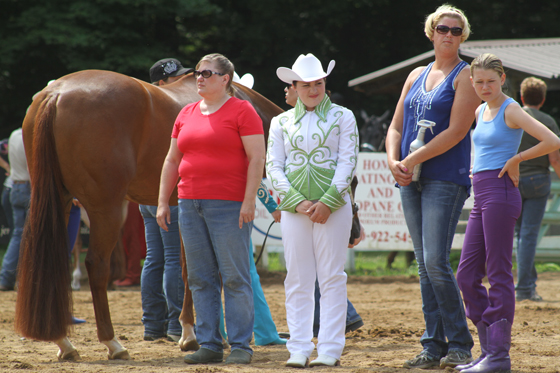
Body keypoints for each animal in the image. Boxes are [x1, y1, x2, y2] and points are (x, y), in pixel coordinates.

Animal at [15, 69, 282, 358]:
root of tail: (57, 93)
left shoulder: (185, 209)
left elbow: (189, 270)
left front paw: (189, 335)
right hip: (105, 209)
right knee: (97, 265)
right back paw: (112, 343)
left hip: (60, 202)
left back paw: (64, 342)